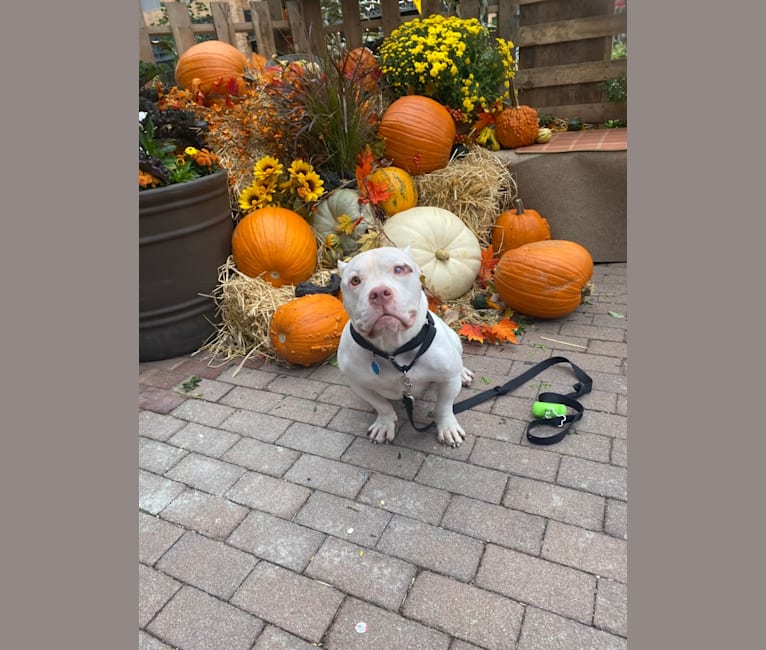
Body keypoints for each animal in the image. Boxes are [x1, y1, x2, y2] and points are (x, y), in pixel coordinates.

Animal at [338, 246, 474, 442]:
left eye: (399, 269)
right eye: (355, 280)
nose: (379, 293)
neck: (393, 348)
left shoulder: (448, 380)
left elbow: (444, 407)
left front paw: (448, 427)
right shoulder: (359, 385)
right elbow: (381, 405)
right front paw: (384, 424)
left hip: (455, 340)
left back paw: (463, 373)